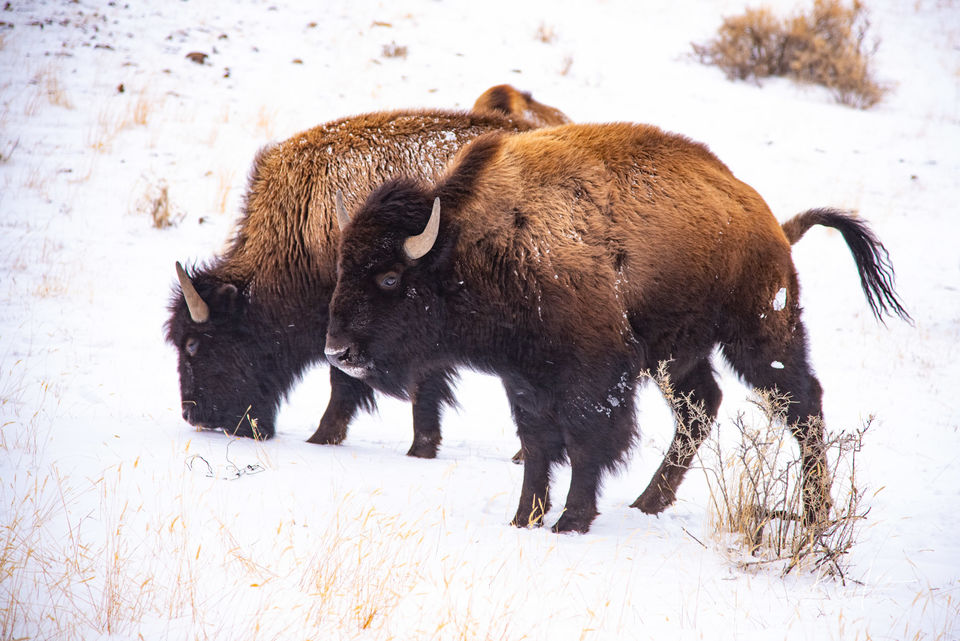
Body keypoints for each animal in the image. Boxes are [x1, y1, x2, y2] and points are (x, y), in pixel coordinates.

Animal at [324, 122, 908, 532]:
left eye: (390, 277)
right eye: (342, 266)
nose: (338, 351)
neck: (475, 244)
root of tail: (774, 227)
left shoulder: (595, 377)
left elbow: (586, 444)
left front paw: (570, 522)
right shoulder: (525, 379)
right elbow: (537, 446)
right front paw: (524, 519)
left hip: (760, 338)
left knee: (802, 405)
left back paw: (815, 514)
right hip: (677, 356)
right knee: (703, 406)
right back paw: (648, 502)